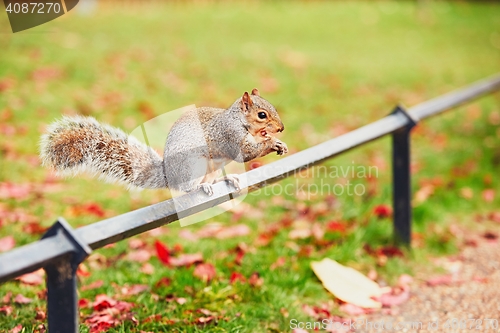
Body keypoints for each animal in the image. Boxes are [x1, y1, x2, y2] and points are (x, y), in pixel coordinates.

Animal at [40, 89, 290, 196]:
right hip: (193, 166)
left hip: (212, 168)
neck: (239, 121)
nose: (281, 128)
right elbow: (243, 153)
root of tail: (169, 176)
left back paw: (228, 179)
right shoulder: (227, 134)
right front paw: (270, 143)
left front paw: (278, 142)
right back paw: (200, 187)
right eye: (262, 115)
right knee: (186, 188)